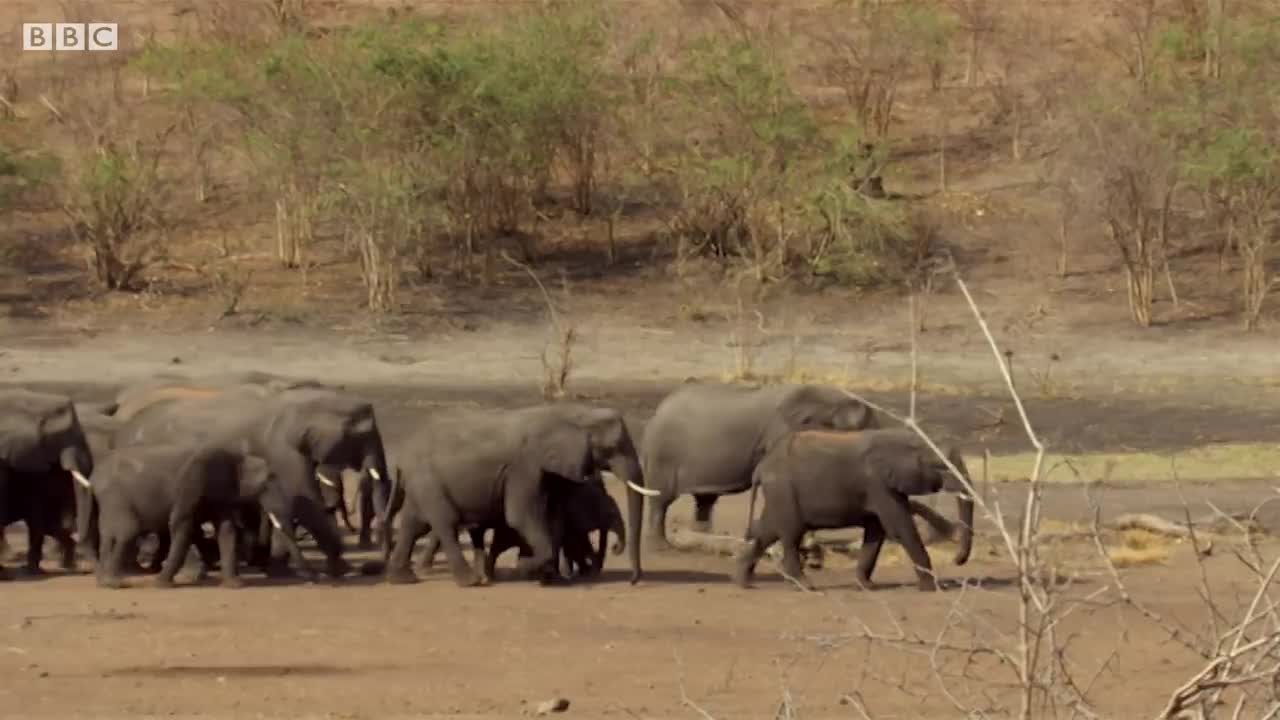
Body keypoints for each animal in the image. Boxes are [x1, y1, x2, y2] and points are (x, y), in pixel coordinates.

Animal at [82, 440, 311, 588]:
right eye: (267, 483)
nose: (312, 579)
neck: (238, 459)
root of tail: (94, 476)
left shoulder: (222, 491)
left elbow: (226, 531)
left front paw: (235, 585)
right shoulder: (191, 482)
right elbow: (181, 525)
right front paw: (161, 585)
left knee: (111, 535)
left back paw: (104, 582)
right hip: (115, 497)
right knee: (127, 532)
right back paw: (114, 583)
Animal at [378, 403, 653, 587]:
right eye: (613, 447)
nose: (633, 581)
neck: (570, 412)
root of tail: (401, 457)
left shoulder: (549, 471)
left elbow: (551, 515)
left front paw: (546, 576)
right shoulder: (525, 467)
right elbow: (520, 517)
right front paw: (524, 569)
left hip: (421, 484)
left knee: (414, 524)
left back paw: (403, 579)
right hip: (429, 481)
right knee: (445, 522)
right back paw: (472, 581)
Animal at [637, 382, 879, 553]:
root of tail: (657, 411)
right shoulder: (779, 434)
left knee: (705, 500)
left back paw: (701, 539)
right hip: (662, 454)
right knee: (661, 499)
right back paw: (663, 548)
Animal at [734, 427, 975, 592]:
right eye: (943, 467)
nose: (957, 561)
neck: (907, 438)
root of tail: (761, 467)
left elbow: (876, 532)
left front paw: (868, 586)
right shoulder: (878, 484)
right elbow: (900, 527)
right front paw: (931, 589)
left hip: (779, 494)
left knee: (768, 530)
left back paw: (744, 582)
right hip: (783, 489)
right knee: (791, 533)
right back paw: (806, 586)